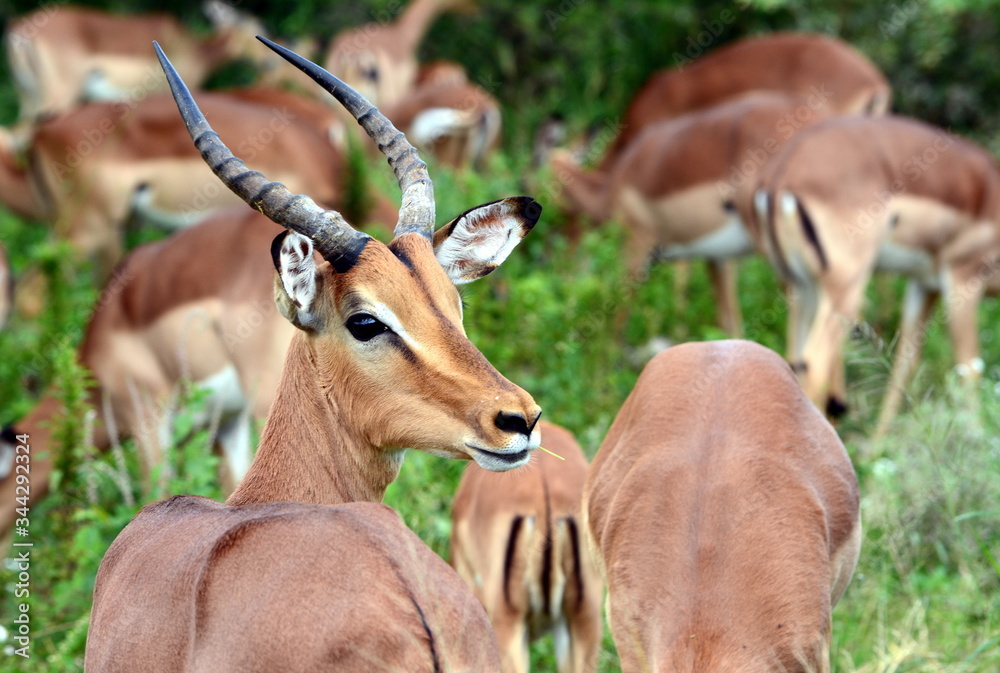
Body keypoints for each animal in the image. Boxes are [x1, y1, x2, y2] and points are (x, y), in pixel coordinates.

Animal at [4, 1, 265, 121]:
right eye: (254, 24)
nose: (267, 63)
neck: (193, 49)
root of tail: (19, 29)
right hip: (59, 96)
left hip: (29, 99)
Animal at [752, 115, 1000, 425]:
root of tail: (782, 170)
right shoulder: (962, 279)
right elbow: (969, 369)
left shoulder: (923, 284)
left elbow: (905, 364)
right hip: (846, 290)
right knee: (815, 364)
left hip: (803, 288)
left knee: (793, 362)